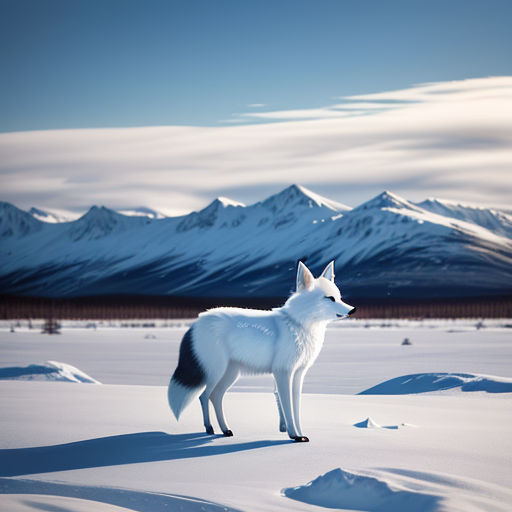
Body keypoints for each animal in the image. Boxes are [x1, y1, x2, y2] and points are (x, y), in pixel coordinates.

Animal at [168, 262, 356, 442]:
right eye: (330, 298)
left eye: (339, 297)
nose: (353, 309)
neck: (298, 325)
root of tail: (196, 321)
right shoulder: (282, 372)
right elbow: (287, 406)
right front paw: (294, 436)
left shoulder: (298, 373)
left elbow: (296, 408)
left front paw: (300, 433)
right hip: (216, 372)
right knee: (203, 396)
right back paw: (209, 428)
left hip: (231, 374)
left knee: (215, 396)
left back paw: (225, 430)